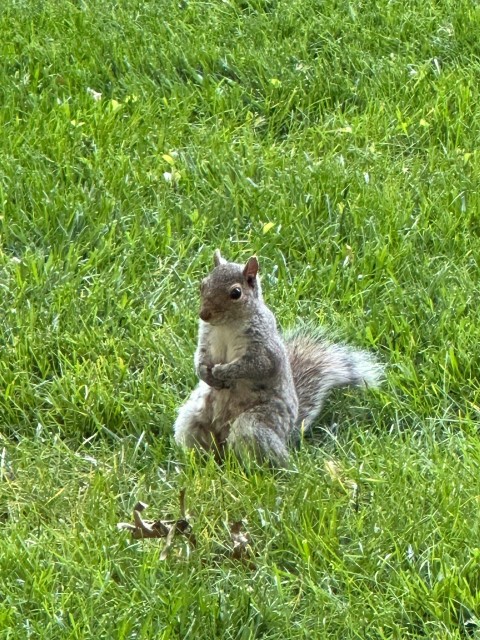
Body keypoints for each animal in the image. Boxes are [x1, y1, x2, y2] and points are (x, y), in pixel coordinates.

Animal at [173, 249, 382, 466]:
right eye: (203, 284)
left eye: (236, 293)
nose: (204, 314)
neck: (226, 325)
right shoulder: (206, 338)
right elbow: (200, 358)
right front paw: (205, 374)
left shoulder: (264, 347)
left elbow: (256, 366)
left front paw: (224, 371)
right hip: (191, 419)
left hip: (256, 423)